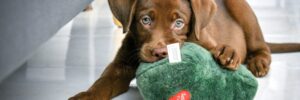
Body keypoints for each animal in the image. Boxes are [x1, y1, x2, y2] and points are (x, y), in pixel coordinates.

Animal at [69, 0, 300, 99]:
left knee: (261, 46)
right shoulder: (121, 65)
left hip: (242, 10)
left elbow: (216, 47)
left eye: (179, 23)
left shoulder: (205, 39)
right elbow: (101, 83)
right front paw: (85, 96)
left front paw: (227, 52)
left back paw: (258, 62)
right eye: (145, 20)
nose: (160, 54)